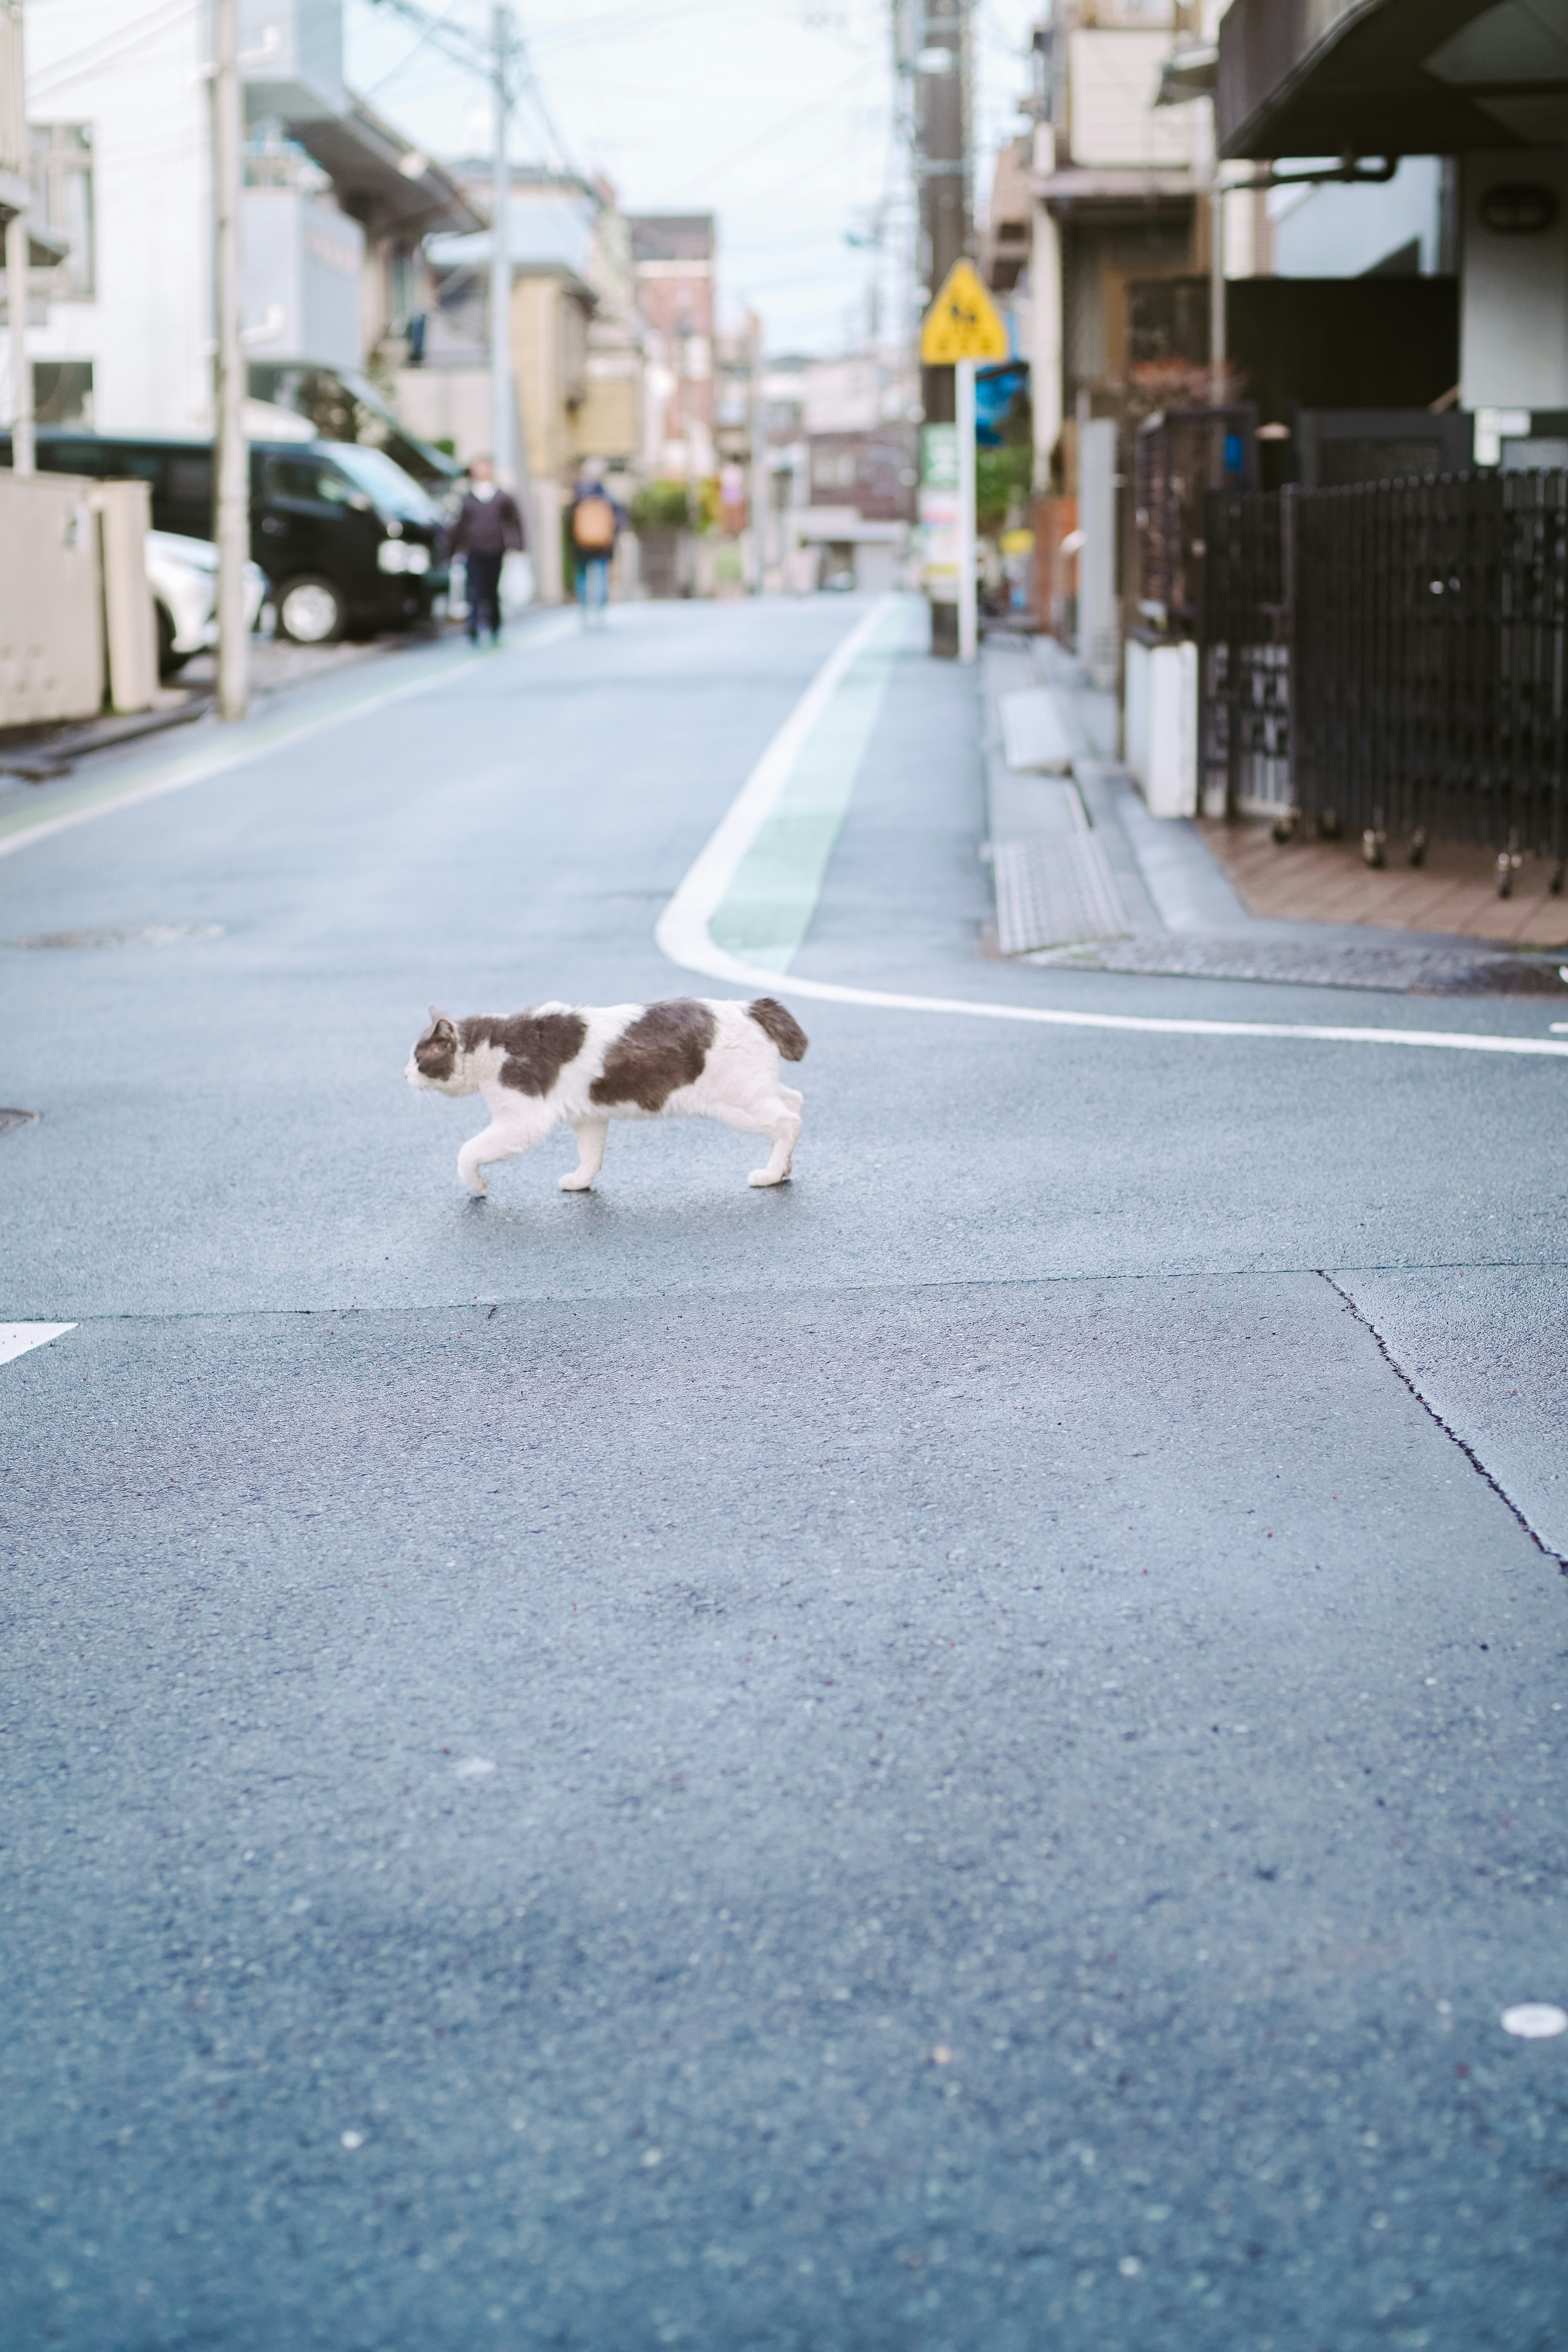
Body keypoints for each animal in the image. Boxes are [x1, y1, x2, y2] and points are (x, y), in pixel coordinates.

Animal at [404, 997, 808, 1195]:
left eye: (418, 1059)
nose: (404, 1074)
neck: (493, 1044)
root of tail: (752, 1007)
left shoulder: (522, 1123)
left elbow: (468, 1152)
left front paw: (477, 1187)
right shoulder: (590, 1117)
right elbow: (591, 1156)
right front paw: (580, 1182)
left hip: (739, 1101)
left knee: (788, 1121)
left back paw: (772, 1173)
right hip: (755, 1090)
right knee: (794, 1099)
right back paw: (786, 1166)